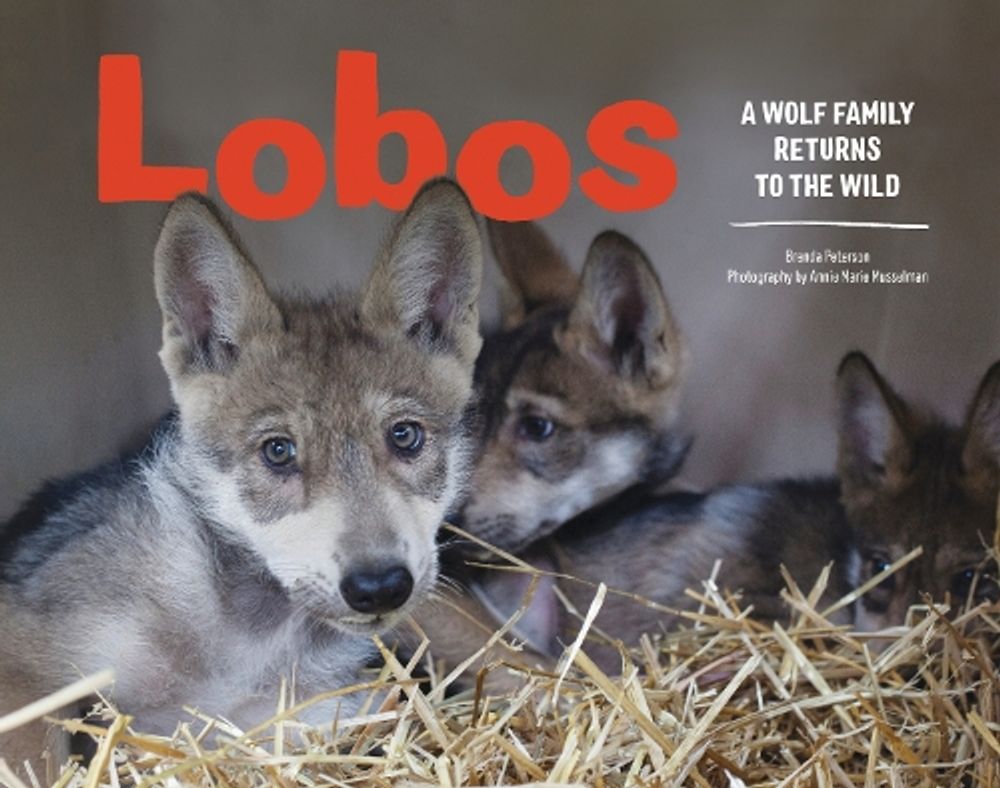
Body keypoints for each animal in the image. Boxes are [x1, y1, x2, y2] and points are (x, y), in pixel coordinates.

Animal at [0, 179, 483, 777]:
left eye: (405, 437)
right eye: (278, 451)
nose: (379, 587)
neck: (249, 648)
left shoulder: (308, 713)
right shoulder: (25, 658)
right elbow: (39, 759)